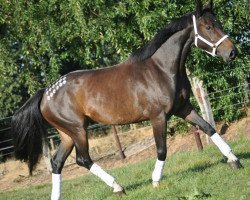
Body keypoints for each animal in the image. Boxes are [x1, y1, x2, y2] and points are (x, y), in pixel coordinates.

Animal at [11, 0, 242, 199]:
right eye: (208, 27)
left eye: (218, 24)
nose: (232, 53)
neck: (161, 69)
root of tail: (45, 93)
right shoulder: (158, 117)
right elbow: (162, 149)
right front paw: (155, 182)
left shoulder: (183, 108)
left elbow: (209, 128)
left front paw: (234, 160)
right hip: (77, 130)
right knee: (83, 159)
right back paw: (118, 187)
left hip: (67, 134)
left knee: (57, 163)